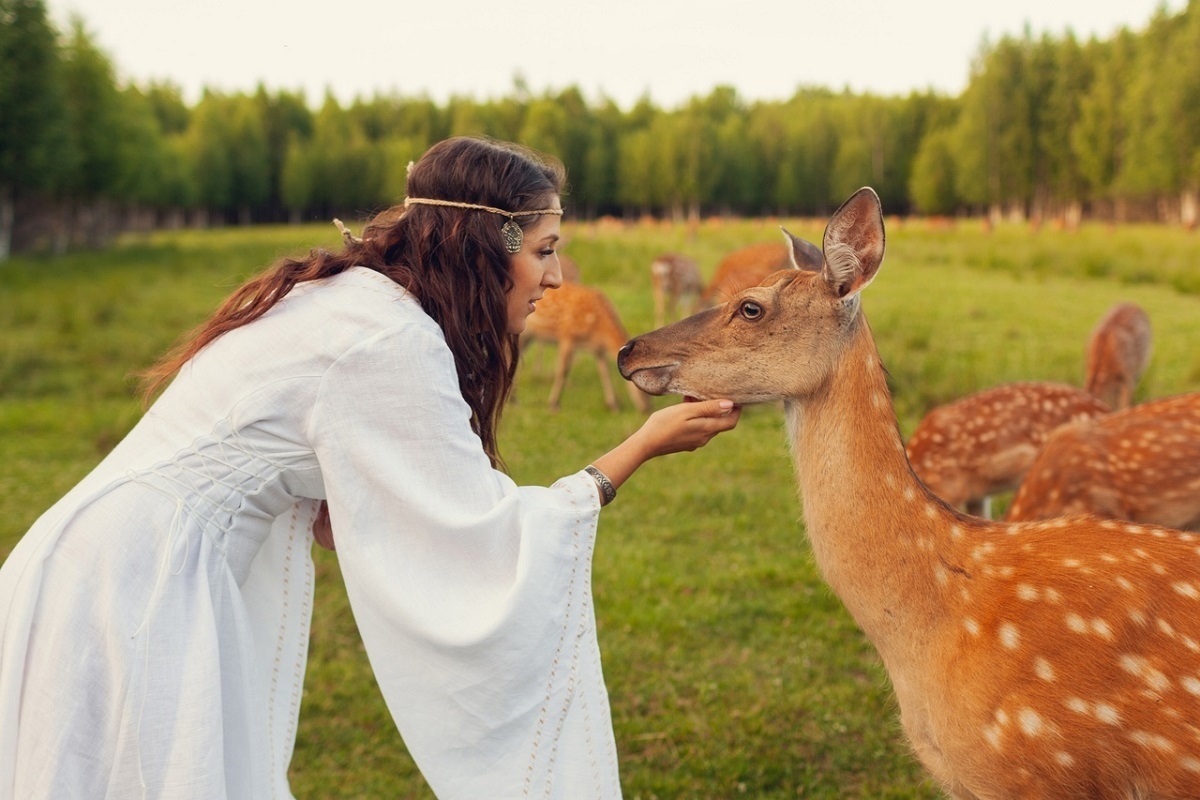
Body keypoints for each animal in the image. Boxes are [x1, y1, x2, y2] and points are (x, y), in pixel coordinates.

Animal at [518, 281, 652, 417]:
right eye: (641, 384)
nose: (646, 408)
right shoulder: (568, 336)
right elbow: (562, 371)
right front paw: (553, 404)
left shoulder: (597, 349)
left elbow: (605, 372)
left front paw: (614, 405)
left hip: (529, 336)